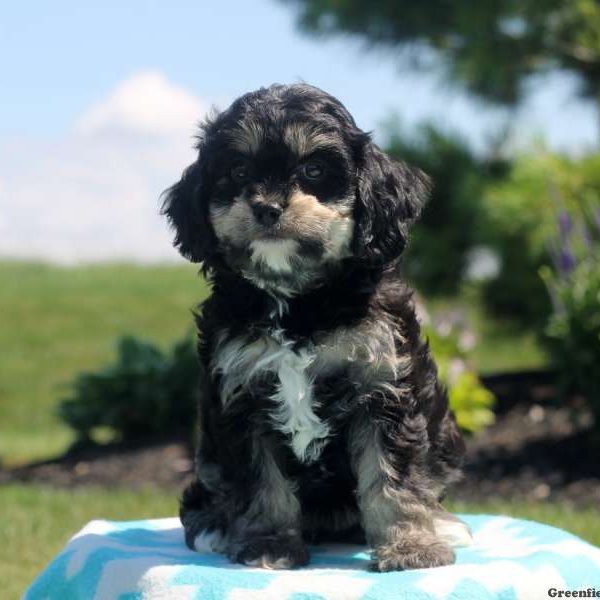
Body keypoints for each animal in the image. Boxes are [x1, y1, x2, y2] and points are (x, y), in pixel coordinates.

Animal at [162, 83, 472, 572]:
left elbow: (393, 477)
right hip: (208, 452)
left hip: (444, 431)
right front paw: (269, 543)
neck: (298, 302)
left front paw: (410, 546)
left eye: (313, 169)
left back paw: (442, 523)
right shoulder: (241, 394)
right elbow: (261, 483)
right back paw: (213, 524)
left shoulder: (382, 385)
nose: (267, 207)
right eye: (238, 170)